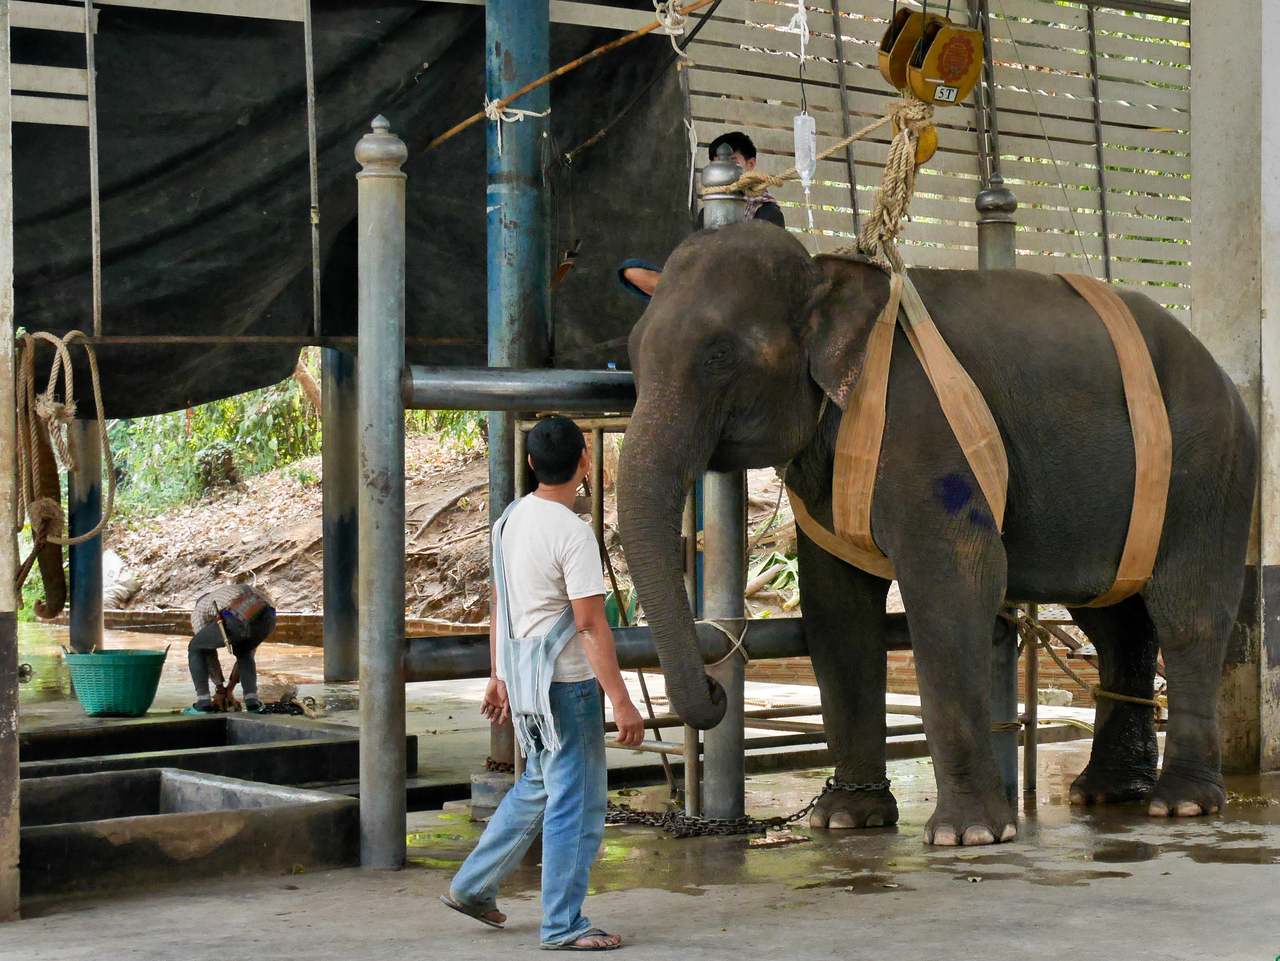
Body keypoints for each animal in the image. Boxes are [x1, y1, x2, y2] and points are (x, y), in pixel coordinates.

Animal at [619, 223, 1259, 849]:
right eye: (632, 350)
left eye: (719, 354)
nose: (717, 690)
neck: (829, 273)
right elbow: (837, 608)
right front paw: (846, 819)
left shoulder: (923, 430)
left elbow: (953, 586)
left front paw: (968, 834)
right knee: (1113, 621)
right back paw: (1105, 792)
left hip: (1208, 464)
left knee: (1187, 613)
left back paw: (1180, 803)